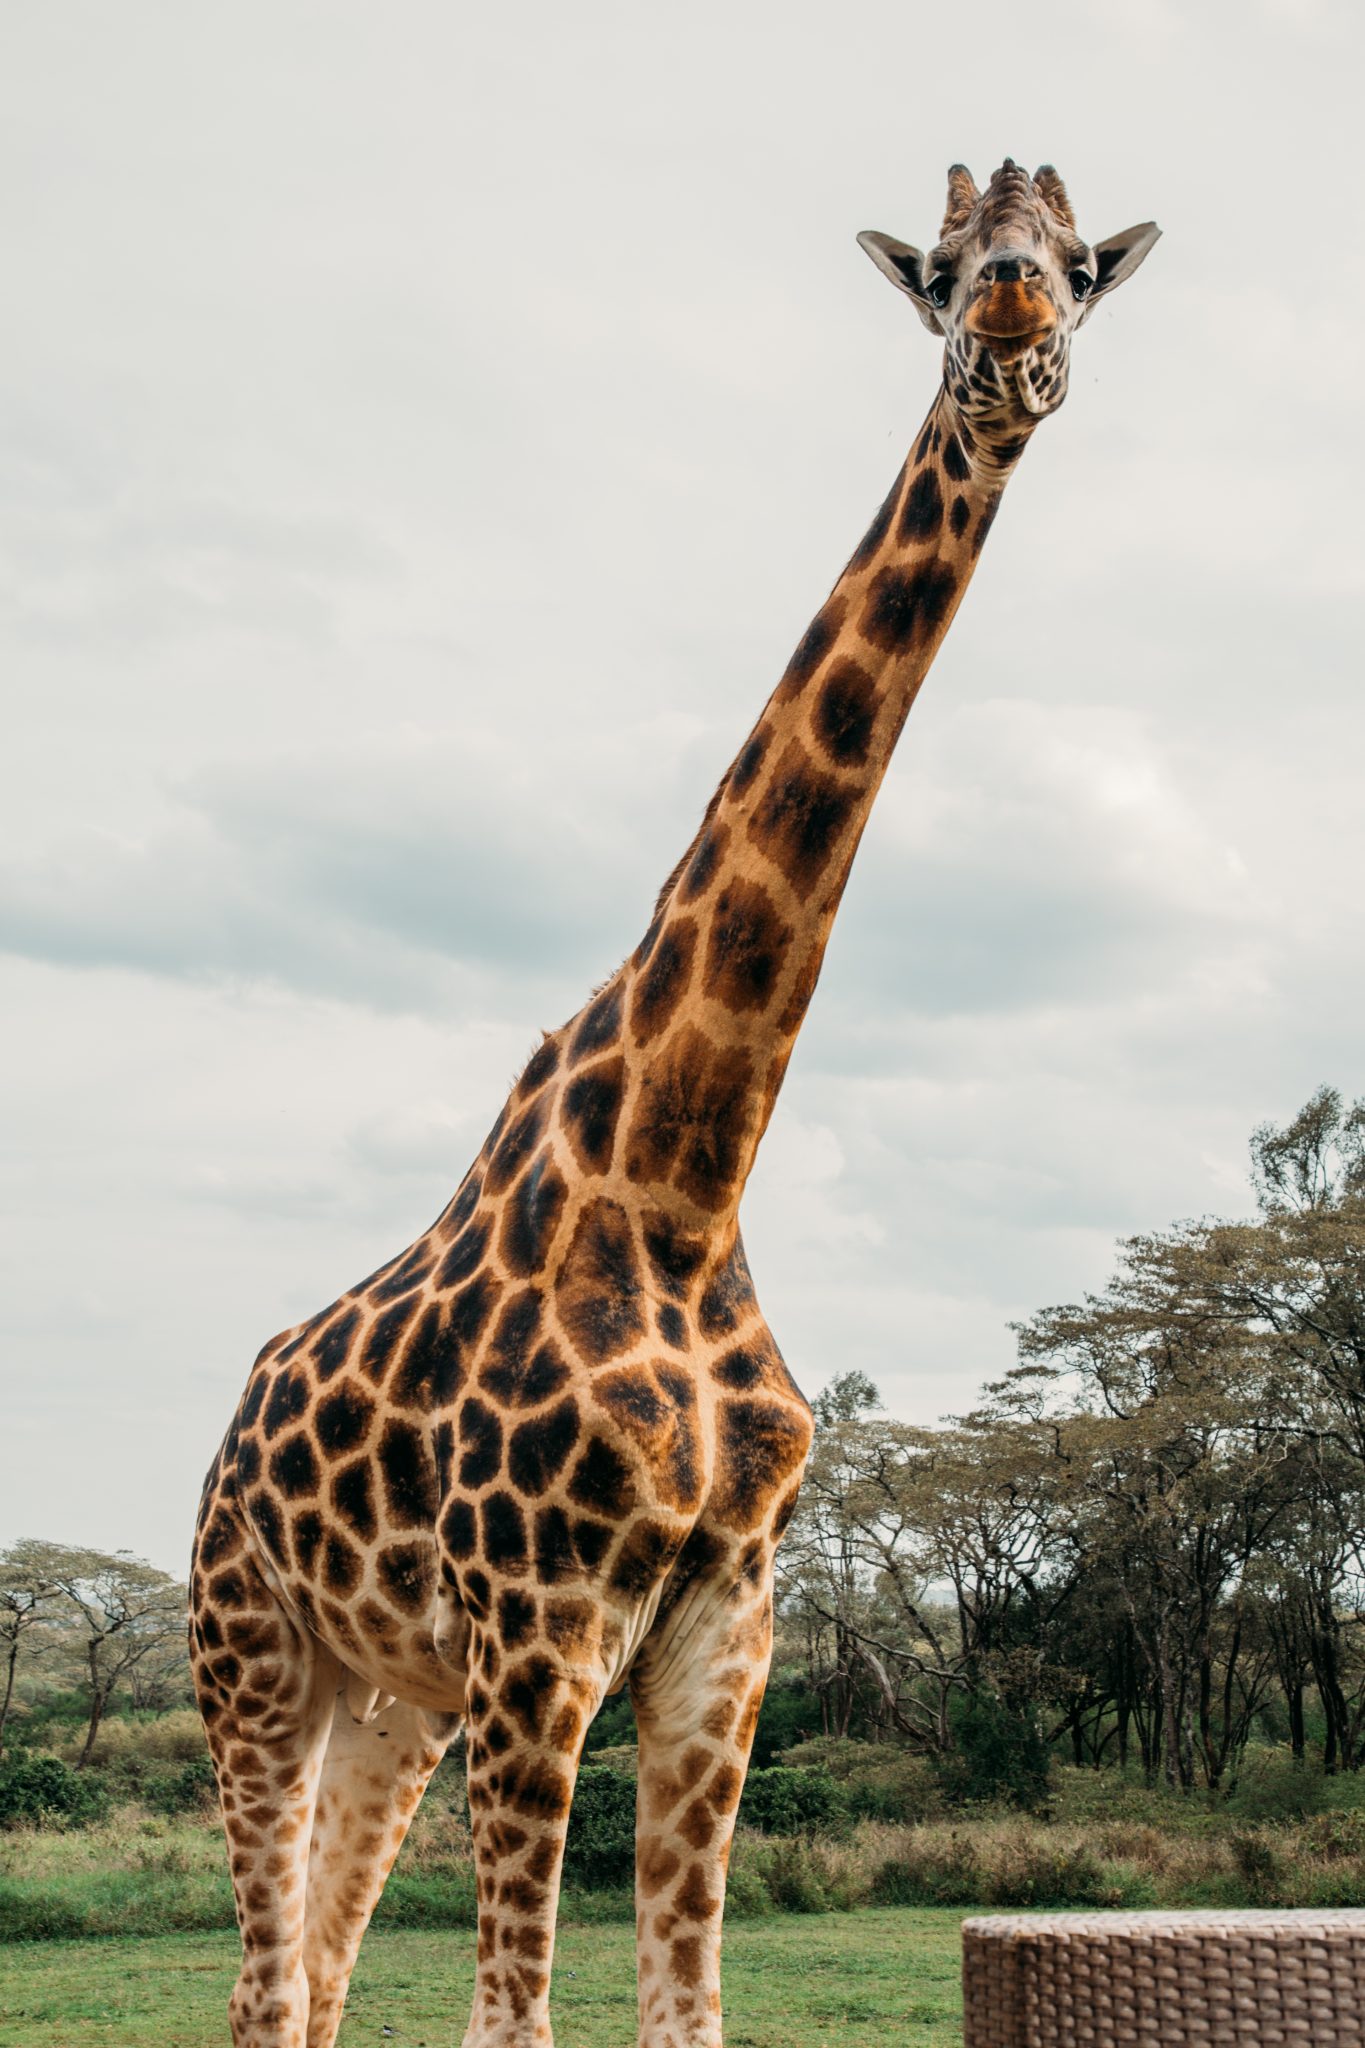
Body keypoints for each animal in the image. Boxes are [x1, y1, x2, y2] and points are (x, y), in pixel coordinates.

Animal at [189, 159, 1154, 2048]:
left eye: (1079, 264)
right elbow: (514, 2015)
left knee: (319, 1973)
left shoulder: (726, 1623)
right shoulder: (542, 1624)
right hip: (250, 1648)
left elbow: (686, 2006)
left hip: (394, 1691)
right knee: (266, 1982)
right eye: (944, 268)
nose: (1012, 323)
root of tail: (227, 1431)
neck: (686, 1174)